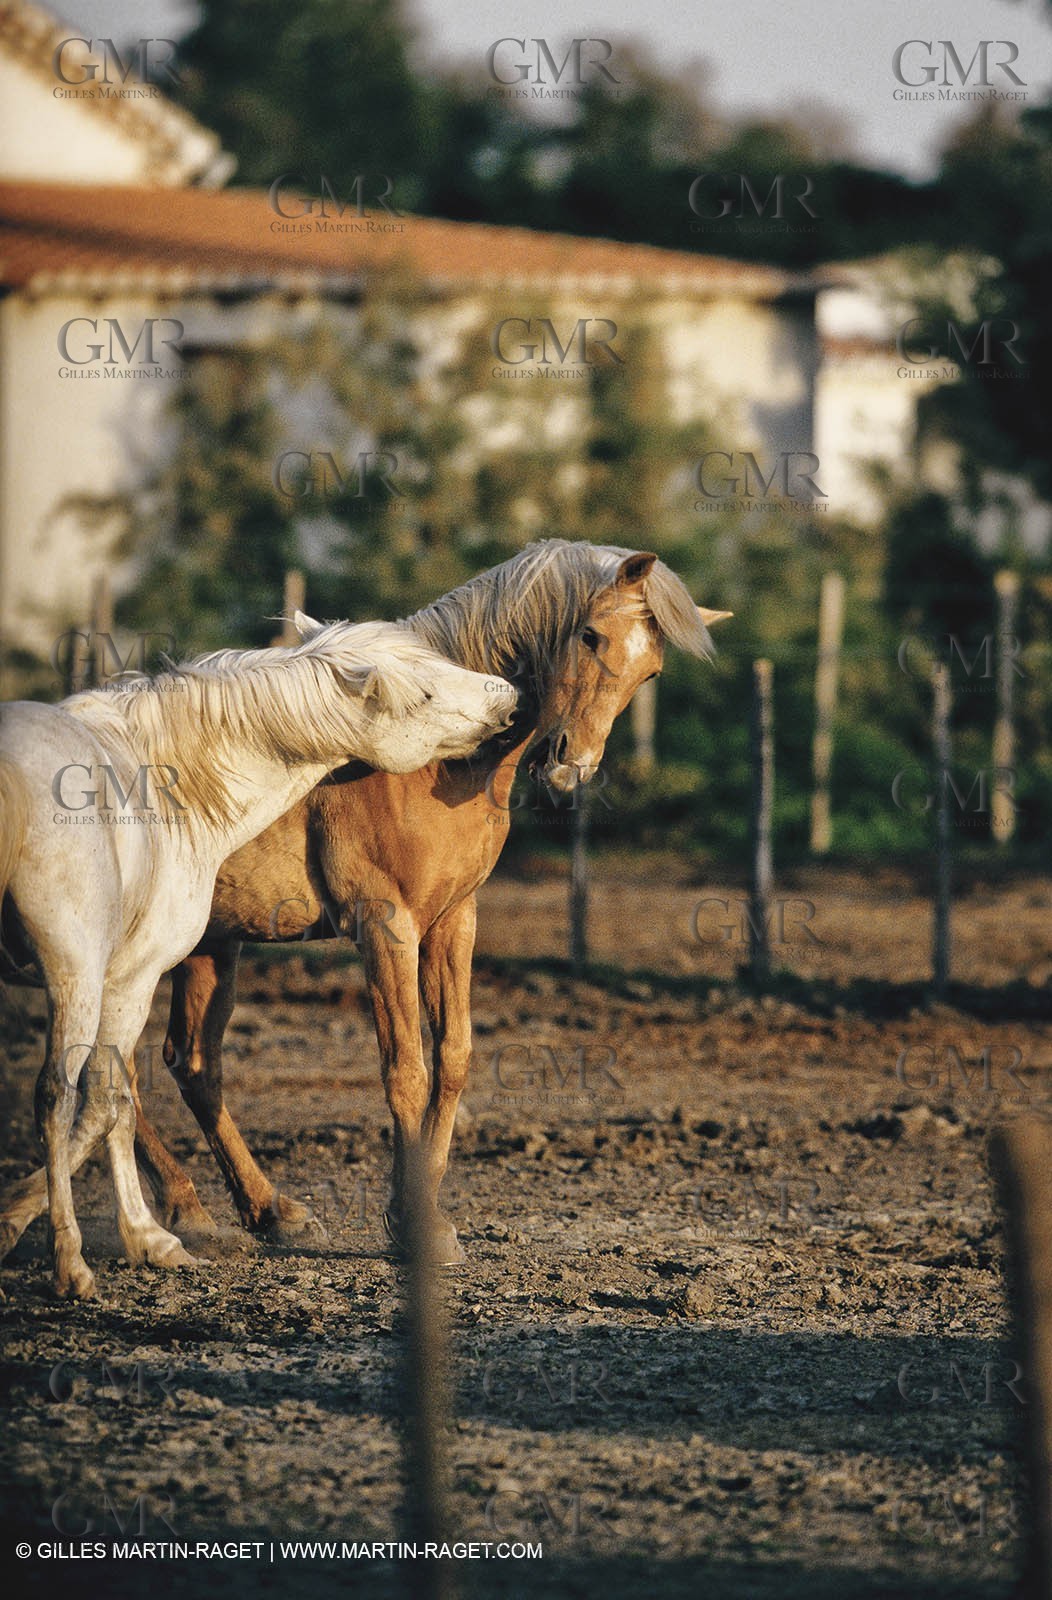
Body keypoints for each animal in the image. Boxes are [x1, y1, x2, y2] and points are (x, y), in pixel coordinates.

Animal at [0, 621, 517, 1297]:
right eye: (424, 692)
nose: (506, 694)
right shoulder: (126, 974)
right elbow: (106, 1098)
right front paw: (143, 1239)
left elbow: (113, 1098)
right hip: (76, 973)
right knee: (61, 1095)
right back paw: (85, 1257)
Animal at [121, 541, 731, 1265]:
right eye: (590, 635)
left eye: (651, 669)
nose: (568, 767)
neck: (435, 761)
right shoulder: (387, 928)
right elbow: (406, 1068)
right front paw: (413, 1222)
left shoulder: (452, 920)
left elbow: (455, 1057)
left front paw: (424, 1217)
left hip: (210, 945)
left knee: (186, 1063)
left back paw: (253, 1212)